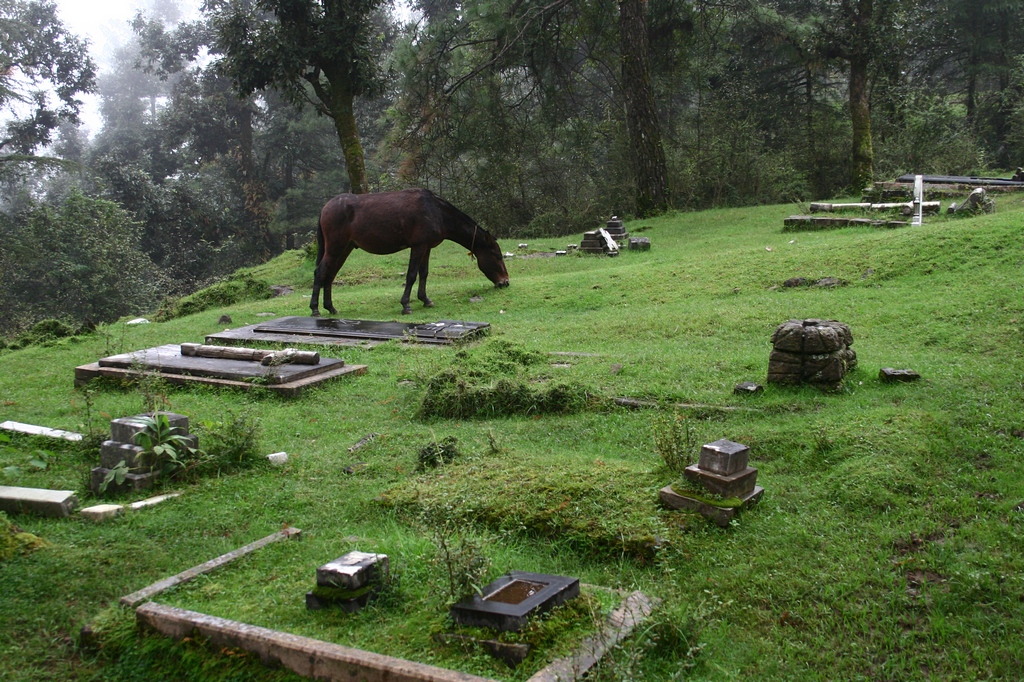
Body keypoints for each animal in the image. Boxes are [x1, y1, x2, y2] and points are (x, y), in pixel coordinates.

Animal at [310, 189, 510, 316]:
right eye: (497, 256)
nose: (505, 282)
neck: (436, 211)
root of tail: (324, 208)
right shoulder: (418, 246)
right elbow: (412, 275)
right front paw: (406, 305)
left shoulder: (427, 247)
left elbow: (424, 273)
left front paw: (425, 299)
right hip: (335, 247)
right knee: (320, 272)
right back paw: (315, 309)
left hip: (344, 248)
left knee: (329, 276)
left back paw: (330, 307)